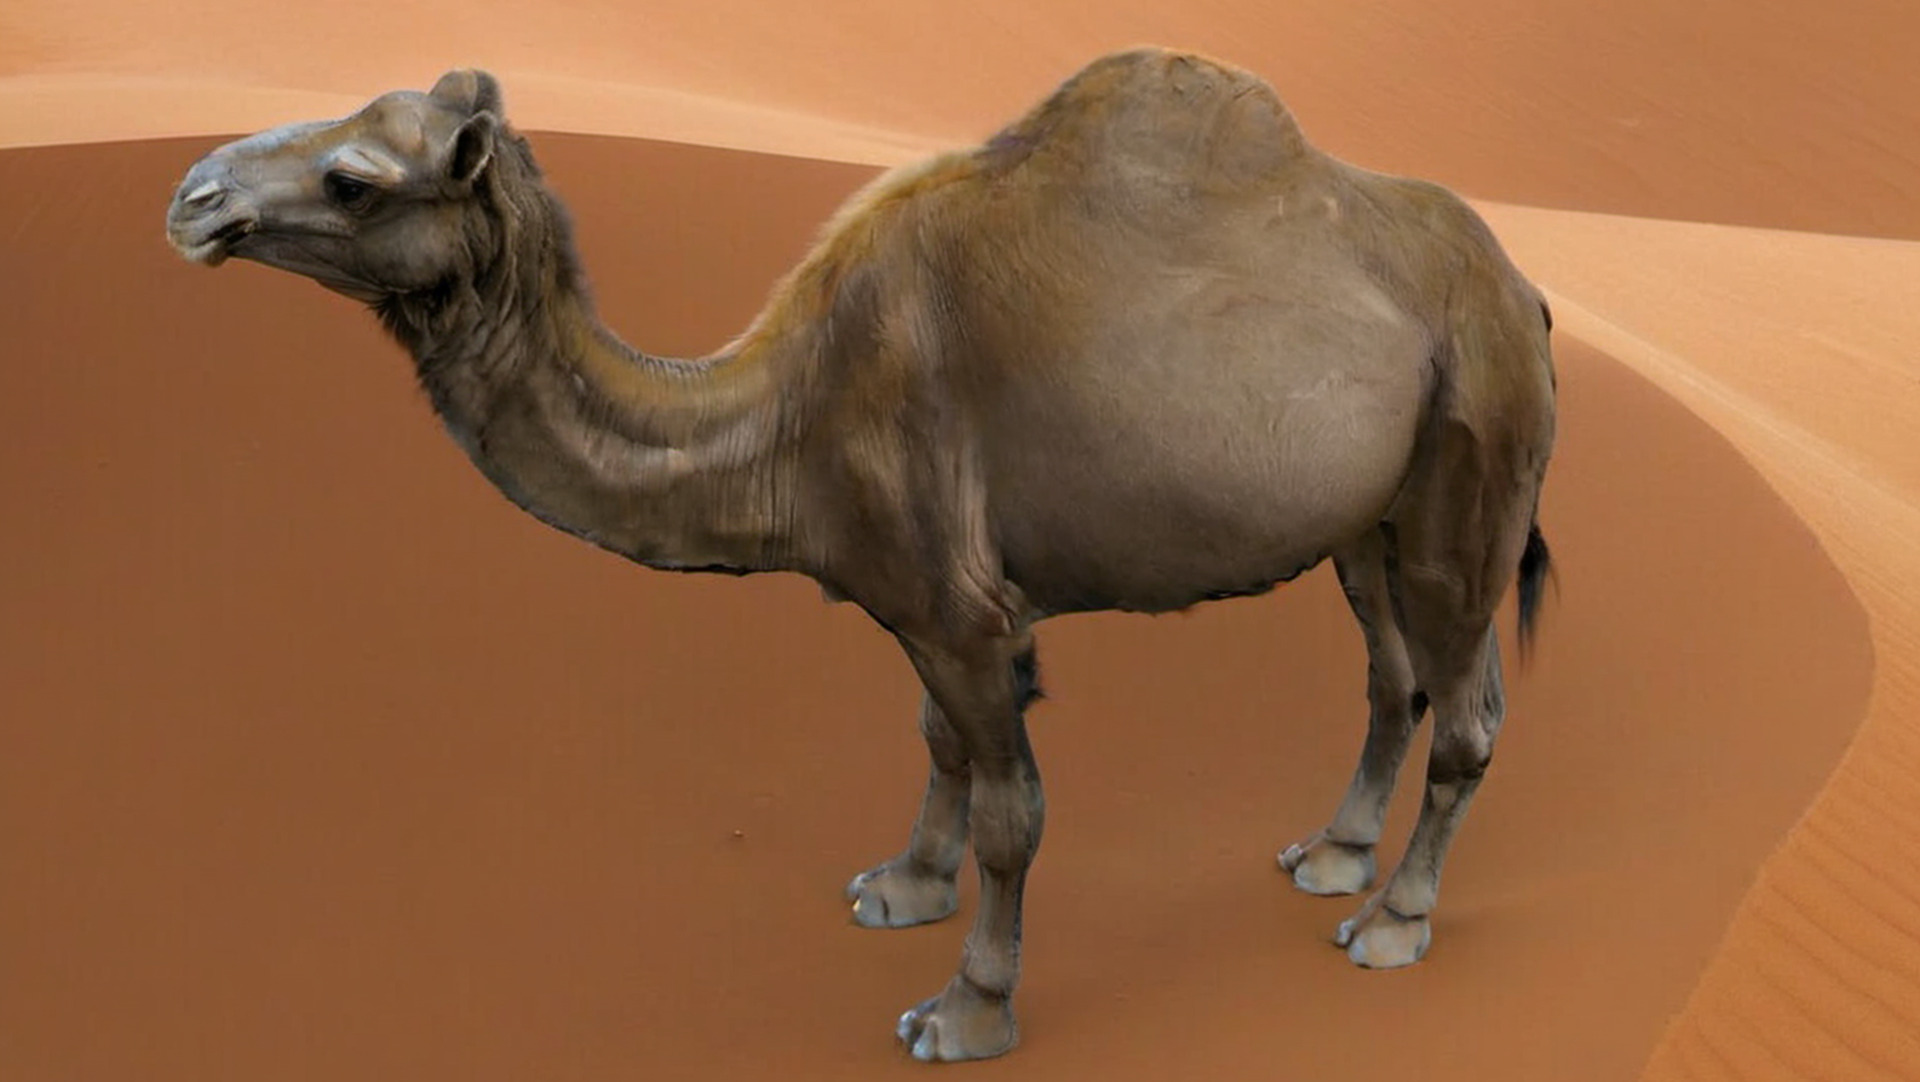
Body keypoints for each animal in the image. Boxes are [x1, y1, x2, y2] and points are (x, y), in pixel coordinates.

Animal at [163, 47, 1557, 1063]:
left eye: (353, 177)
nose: (192, 198)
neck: (781, 415)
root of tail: (1524, 287)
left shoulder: (971, 611)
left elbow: (1014, 812)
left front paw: (968, 1008)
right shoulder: (914, 601)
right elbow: (937, 744)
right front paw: (903, 883)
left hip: (1475, 461)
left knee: (1470, 702)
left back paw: (1394, 919)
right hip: (1366, 516)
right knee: (1392, 671)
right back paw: (1334, 854)